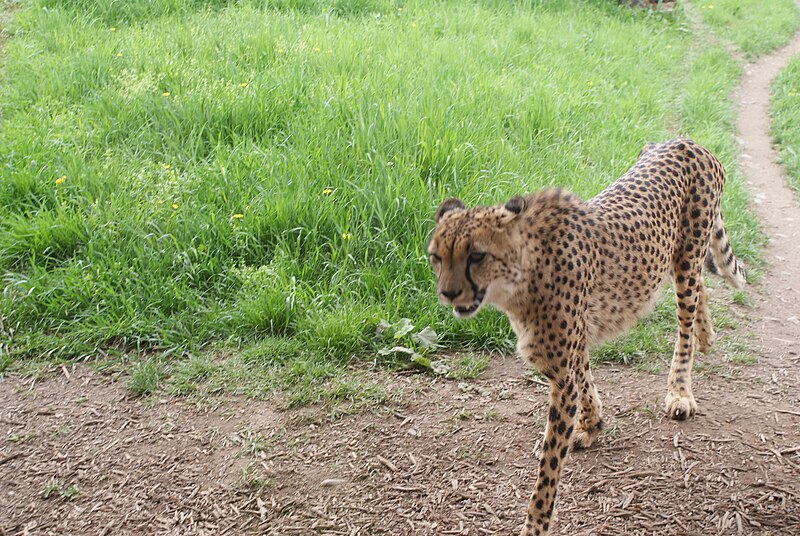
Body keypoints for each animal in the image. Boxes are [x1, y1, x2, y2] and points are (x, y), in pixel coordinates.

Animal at [428, 139, 748, 536]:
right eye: (436, 257)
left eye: (476, 255)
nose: (448, 293)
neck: (520, 278)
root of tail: (686, 141)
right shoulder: (568, 348)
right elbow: (585, 376)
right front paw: (592, 425)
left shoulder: (562, 367)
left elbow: (549, 465)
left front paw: (535, 524)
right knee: (702, 286)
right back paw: (706, 336)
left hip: (687, 256)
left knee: (685, 319)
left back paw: (681, 390)